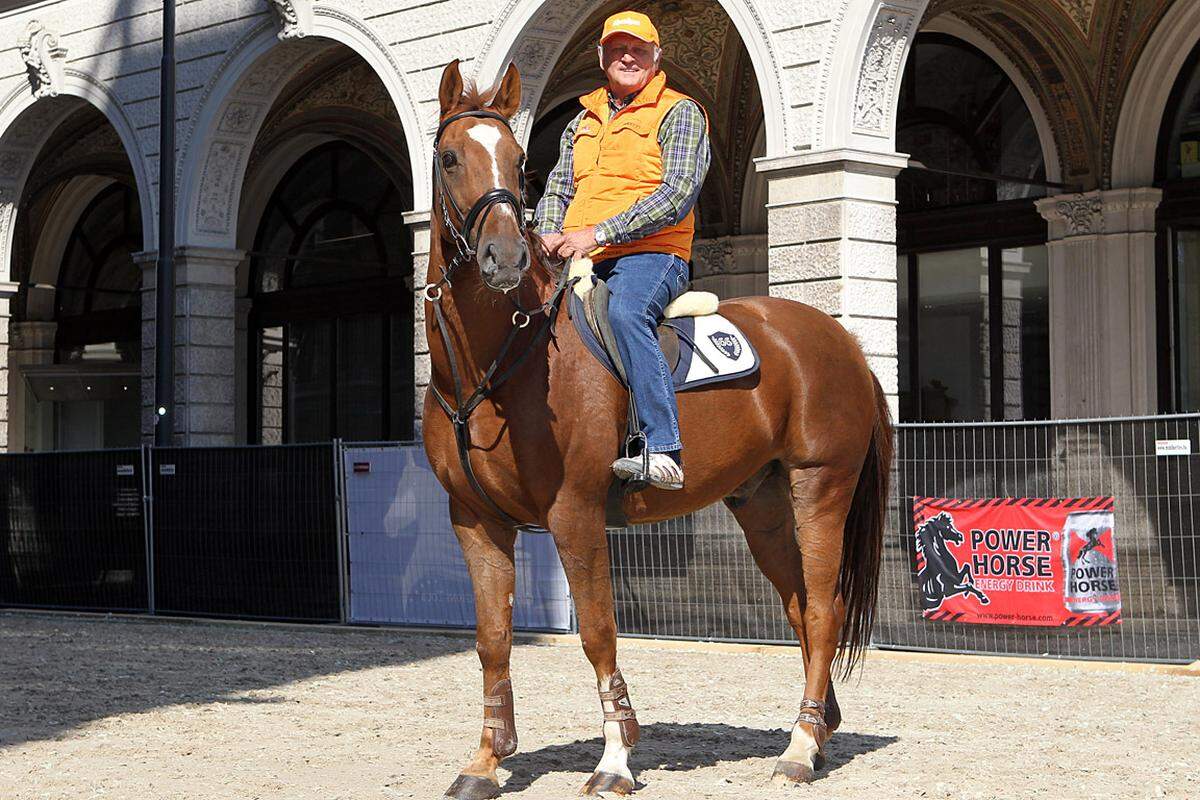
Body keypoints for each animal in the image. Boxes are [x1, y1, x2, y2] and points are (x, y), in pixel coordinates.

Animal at [424, 62, 892, 800]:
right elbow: (492, 640)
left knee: (823, 606)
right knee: (797, 605)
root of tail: (841, 341)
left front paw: (615, 759)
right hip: (762, 503)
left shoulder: (576, 515)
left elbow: (598, 633)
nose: (504, 256)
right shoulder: (475, 521)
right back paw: (817, 733)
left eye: (519, 162)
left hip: (821, 487)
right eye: (449, 157)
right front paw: (486, 761)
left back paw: (797, 748)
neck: (498, 366)